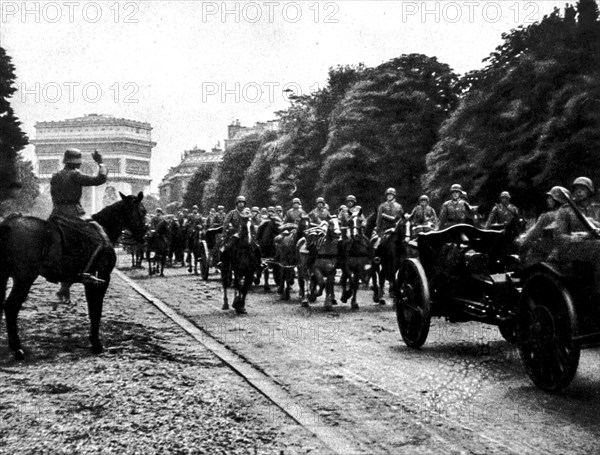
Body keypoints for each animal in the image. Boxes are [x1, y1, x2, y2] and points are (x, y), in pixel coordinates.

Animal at [0, 192, 146, 360]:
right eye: (143, 211)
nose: (144, 236)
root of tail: (8, 223)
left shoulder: (91, 281)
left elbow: (92, 308)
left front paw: (93, 340)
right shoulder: (103, 277)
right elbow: (96, 310)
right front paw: (97, 344)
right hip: (24, 278)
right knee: (11, 306)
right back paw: (17, 348)